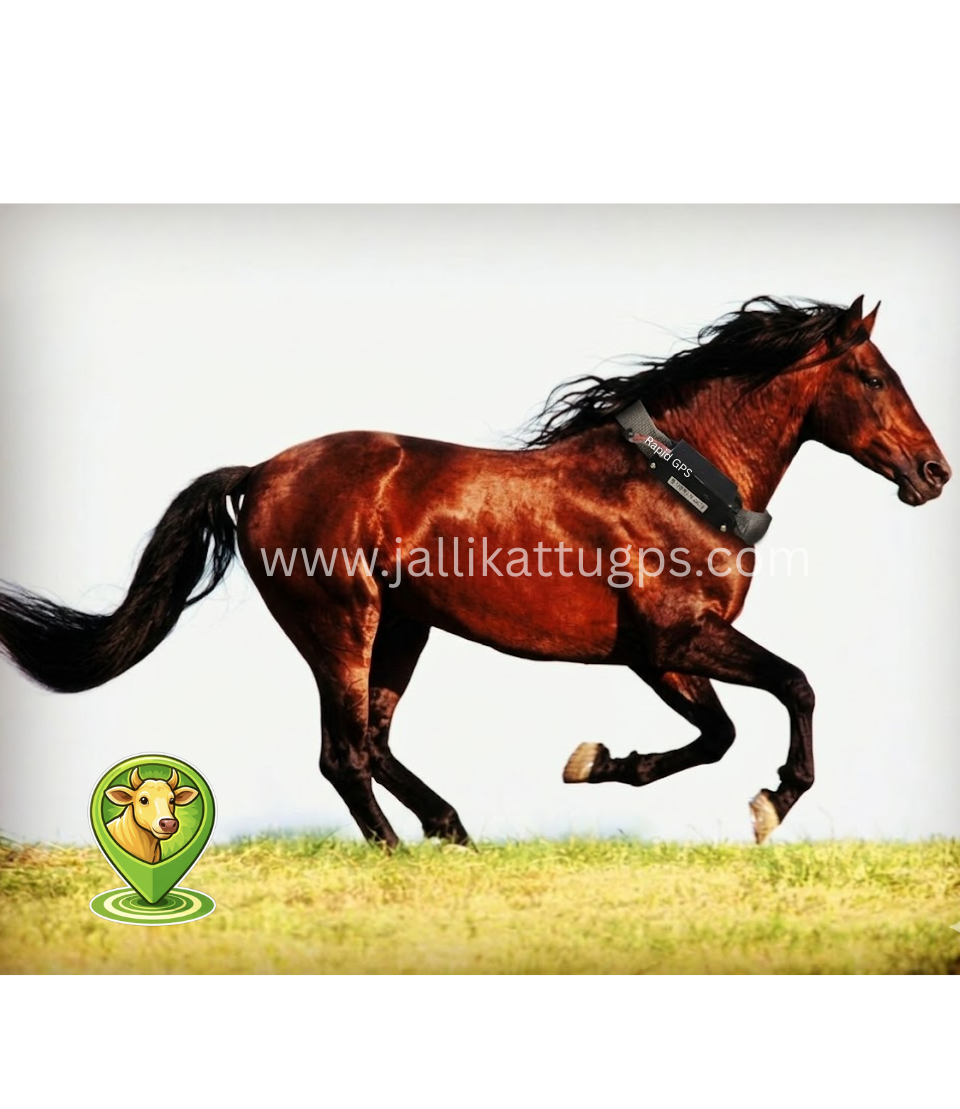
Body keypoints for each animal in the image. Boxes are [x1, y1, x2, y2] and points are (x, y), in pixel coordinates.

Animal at [0, 296, 950, 845]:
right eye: (873, 375)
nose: (934, 472)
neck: (678, 483)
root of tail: (260, 472)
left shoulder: (659, 656)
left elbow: (717, 733)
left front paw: (596, 762)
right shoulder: (677, 637)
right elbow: (795, 686)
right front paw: (772, 802)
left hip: (405, 627)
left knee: (374, 740)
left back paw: (451, 829)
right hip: (341, 623)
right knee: (343, 751)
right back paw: (398, 850)